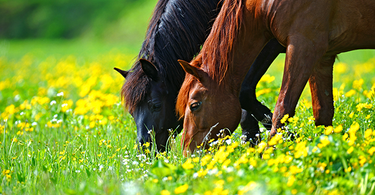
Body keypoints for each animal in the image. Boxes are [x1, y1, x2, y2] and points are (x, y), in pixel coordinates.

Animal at [178, 0, 375, 154]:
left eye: (194, 106)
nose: (187, 153)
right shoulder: (322, 57)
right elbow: (322, 113)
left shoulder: (304, 45)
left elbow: (282, 109)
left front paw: (268, 157)